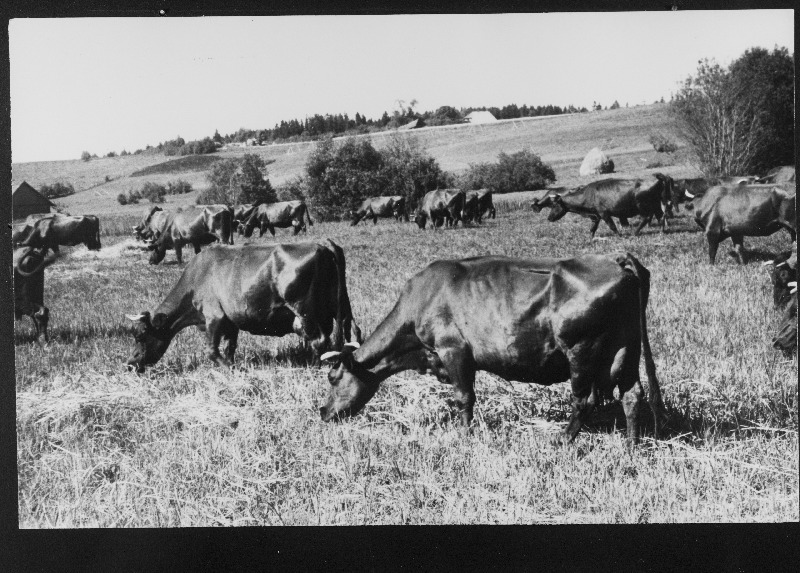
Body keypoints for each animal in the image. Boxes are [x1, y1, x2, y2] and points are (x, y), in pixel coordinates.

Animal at [125, 239, 362, 374]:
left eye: (141, 336)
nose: (130, 364)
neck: (196, 278)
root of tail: (323, 246)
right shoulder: (231, 322)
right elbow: (230, 347)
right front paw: (232, 363)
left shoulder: (214, 317)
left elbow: (212, 351)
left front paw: (231, 369)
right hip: (339, 307)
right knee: (348, 332)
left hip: (306, 311)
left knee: (320, 340)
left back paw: (314, 365)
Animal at [318, 252, 668, 444]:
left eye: (333, 378)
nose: (323, 412)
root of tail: (615, 260)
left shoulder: (454, 351)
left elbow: (464, 398)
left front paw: (464, 435)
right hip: (624, 350)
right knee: (632, 395)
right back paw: (631, 447)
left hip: (582, 351)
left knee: (585, 399)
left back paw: (562, 439)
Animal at [532, 174, 676, 237]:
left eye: (554, 206)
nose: (549, 218)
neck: (587, 194)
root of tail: (659, 179)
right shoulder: (596, 215)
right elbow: (593, 228)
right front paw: (590, 238)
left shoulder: (604, 213)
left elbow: (612, 226)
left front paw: (619, 235)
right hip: (656, 205)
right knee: (661, 217)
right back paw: (662, 232)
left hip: (643, 207)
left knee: (647, 218)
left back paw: (635, 232)